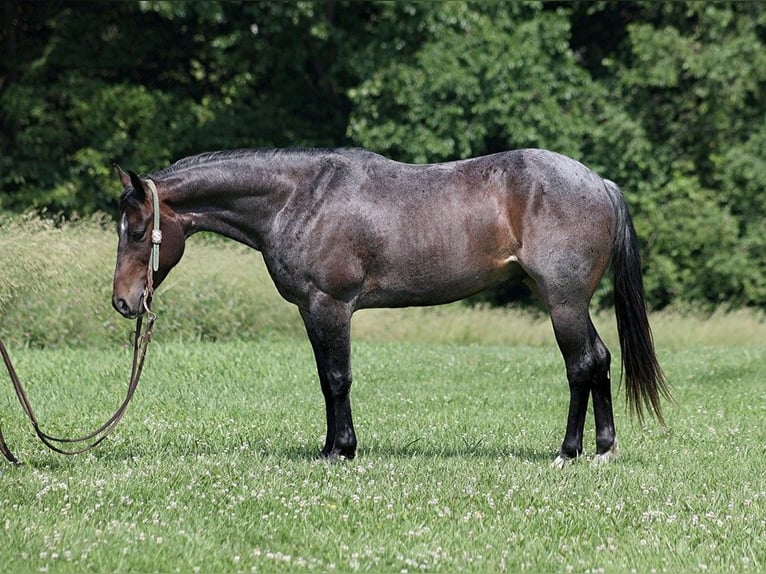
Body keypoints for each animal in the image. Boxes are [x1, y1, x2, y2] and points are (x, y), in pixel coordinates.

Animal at [112, 147, 669, 465]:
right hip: (565, 301)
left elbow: (338, 379)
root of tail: (599, 183)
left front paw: (342, 452)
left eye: (137, 231)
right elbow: (326, 380)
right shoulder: (311, 311)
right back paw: (603, 449)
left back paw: (570, 452)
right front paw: (330, 447)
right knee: (599, 361)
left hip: (563, 302)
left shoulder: (330, 305)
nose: (123, 301)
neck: (300, 198)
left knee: (581, 365)